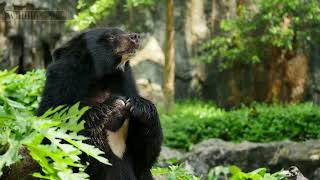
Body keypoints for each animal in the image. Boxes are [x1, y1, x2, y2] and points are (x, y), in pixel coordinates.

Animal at [37, 28, 162, 180]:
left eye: (122, 31)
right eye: (110, 37)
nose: (135, 37)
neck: (103, 80)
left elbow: (144, 155)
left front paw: (139, 106)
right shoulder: (63, 89)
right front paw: (112, 106)